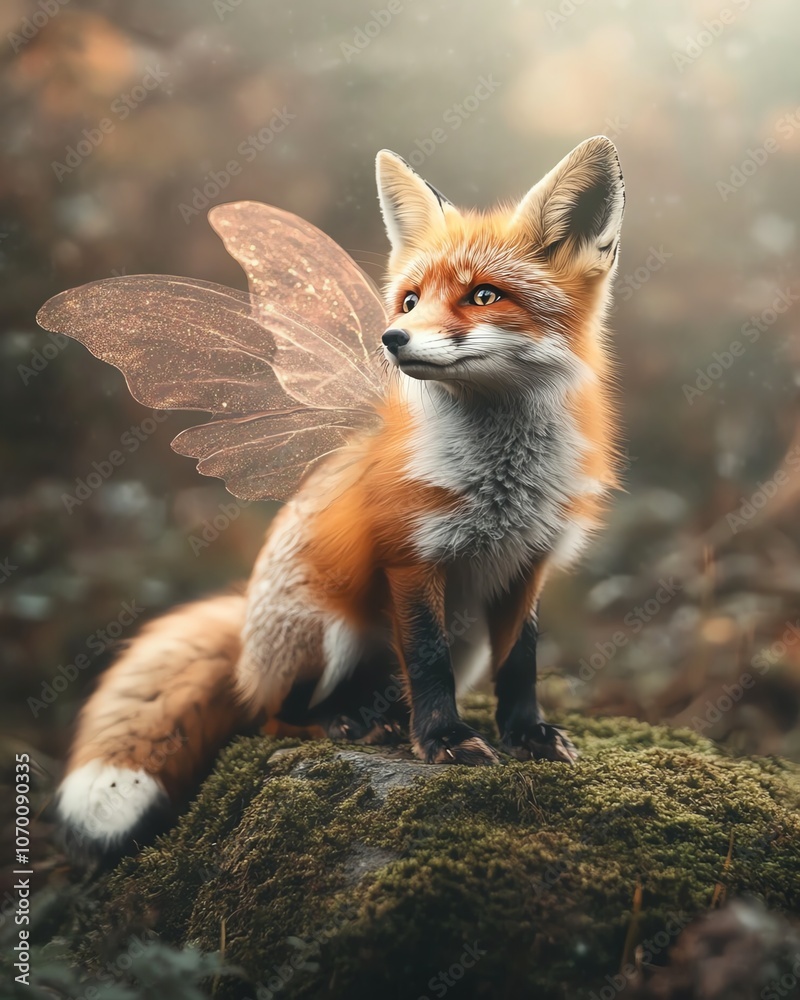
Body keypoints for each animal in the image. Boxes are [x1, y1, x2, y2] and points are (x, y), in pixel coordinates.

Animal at [51, 136, 624, 861]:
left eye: (483, 295)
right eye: (409, 301)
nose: (391, 339)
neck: (502, 482)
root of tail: (247, 638)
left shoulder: (528, 562)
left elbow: (521, 665)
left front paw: (527, 735)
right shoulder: (412, 558)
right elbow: (427, 663)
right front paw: (444, 741)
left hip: (452, 636)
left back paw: (386, 720)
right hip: (329, 632)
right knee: (273, 717)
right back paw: (348, 724)